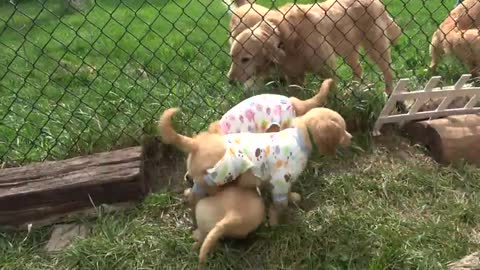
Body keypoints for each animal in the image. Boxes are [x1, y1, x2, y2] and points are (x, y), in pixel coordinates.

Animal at [159, 106, 350, 225]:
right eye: (343, 130)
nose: (352, 138)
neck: (300, 136)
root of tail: (196, 143)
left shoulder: (275, 181)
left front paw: (292, 198)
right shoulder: (281, 181)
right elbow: (279, 204)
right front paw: (275, 222)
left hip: (201, 181)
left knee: (192, 196)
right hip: (214, 181)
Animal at [228, 0, 402, 94]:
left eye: (245, 59)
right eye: (232, 57)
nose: (230, 81)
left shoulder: (327, 70)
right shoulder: (294, 77)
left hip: (376, 46)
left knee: (388, 71)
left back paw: (388, 93)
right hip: (347, 49)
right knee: (358, 69)